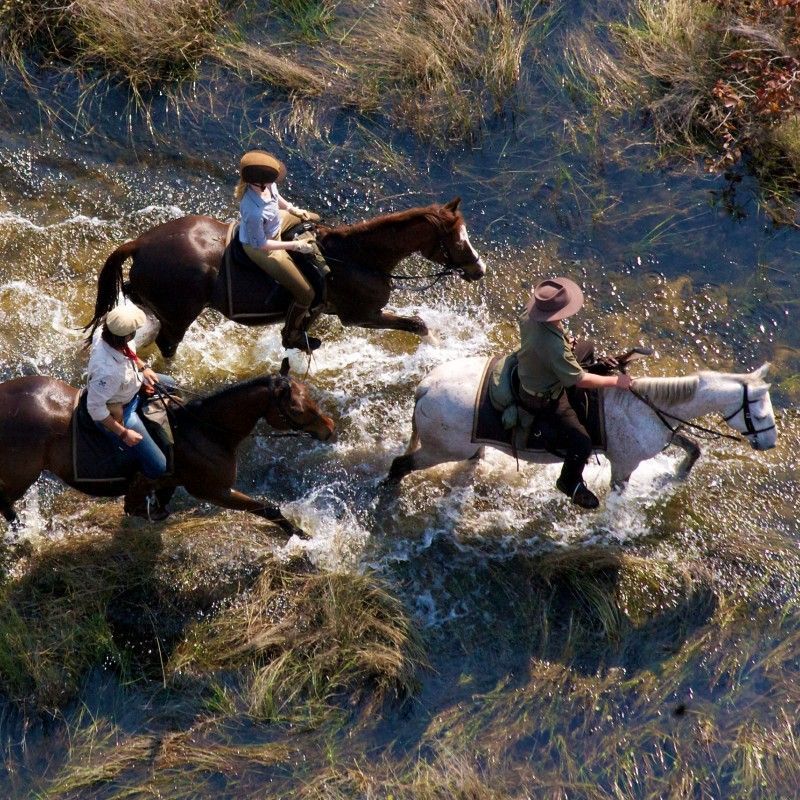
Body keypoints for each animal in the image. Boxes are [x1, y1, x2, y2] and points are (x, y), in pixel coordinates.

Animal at [0, 371, 335, 536]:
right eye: (296, 409)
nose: (329, 428)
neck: (205, 431)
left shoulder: (170, 482)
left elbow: (160, 502)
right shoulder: (215, 491)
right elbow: (268, 509)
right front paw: (302, 536)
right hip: (21, 475)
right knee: (4, 503)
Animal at [85, 198, 486, 359]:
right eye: (458, 240)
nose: (479, 270)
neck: (358, 257)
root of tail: (140, 242)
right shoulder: (361, 316)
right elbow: (416, 324)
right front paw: (437, 348)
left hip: (157, 301)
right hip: (180, 313)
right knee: (168, 345)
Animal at [387, 357, 777, 492]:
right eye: (759, 414)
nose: (769, 443)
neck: (644, 408)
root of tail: (426, 386)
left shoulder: (666, 431)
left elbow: (693, 448)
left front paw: (677, 475)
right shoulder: (624, 464)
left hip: (463, 447)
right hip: (440, 450)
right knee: (401, 465)